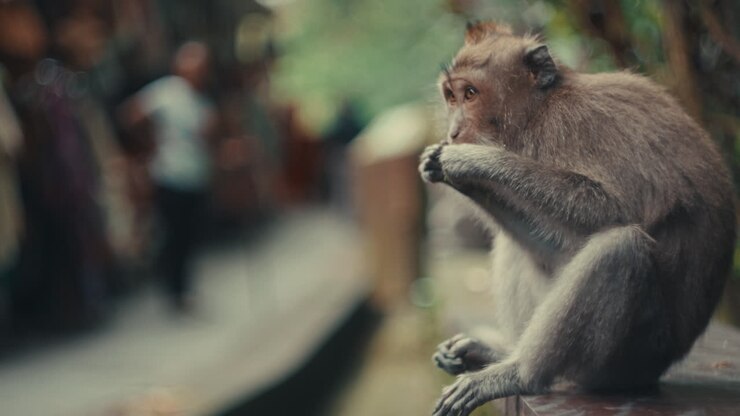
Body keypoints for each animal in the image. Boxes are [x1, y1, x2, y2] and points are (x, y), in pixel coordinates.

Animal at [419, 22, 736, 416]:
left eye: (471, 94)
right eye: (451, 97)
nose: (454, 132)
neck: (539, 111)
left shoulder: (577, 126)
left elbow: (612, 210)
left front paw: (475, 160)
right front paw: (448, 169)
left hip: (627, 360)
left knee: (620, 248)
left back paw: (520, 373)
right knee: (519, 244)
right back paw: (497, 353)